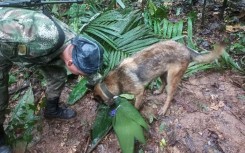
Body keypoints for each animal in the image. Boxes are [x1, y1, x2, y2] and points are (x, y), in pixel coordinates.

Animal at [94, 39, 226, 115]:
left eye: (100, 102)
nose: (109, 108)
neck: (115, 79)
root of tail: (186, 49)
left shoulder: (140, 92)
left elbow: (136, 106)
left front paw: (134, 112)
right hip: (162, 72)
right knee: (163, 83)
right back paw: (158, 91)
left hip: (172, 78)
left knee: (170, 95)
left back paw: (164, 109)